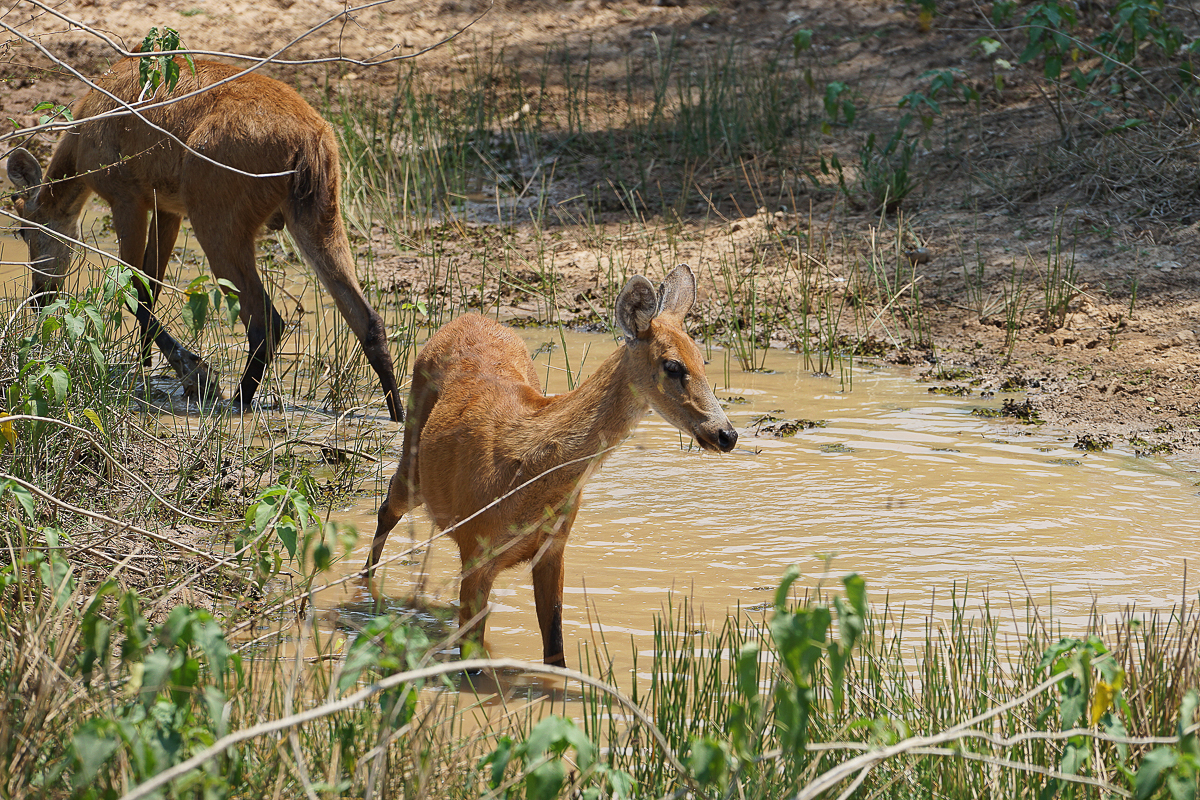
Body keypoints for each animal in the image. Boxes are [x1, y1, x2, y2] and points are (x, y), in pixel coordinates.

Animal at [5, 58, 403, 422]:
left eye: (24, 230)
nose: (38, 298)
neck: (79, 148)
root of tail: (308, 142)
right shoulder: (167, 205)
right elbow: (151, 288)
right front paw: (147, 365)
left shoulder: (126, 194)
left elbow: (133, 287)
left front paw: (195, 373)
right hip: (319, 212)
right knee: (368, 319)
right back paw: (397, 414)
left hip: (216, 213)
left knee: (266, 319)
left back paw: (236, 402)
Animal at [362, 266, 739, 666]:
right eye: (672, 366)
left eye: (702, 361)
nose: (727, 434)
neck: (527, 470)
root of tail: (467, 316)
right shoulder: (476, 548)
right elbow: (472, 659)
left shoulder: (554, 546)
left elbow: (555, 652)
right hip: (413, 455)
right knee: (388, 504)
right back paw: (365, 586)